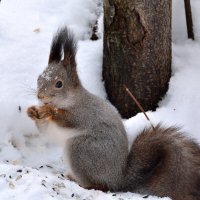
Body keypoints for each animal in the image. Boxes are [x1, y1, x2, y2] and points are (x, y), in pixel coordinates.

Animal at [27, 27, 200, 200]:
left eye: (59, 84)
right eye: (39, 79)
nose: (40, 96)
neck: (69, 100)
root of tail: (118, 178)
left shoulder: (84, 112)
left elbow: (68, 119)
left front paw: (50, 111)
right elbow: (44, 129)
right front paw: (32, 112)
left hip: (82, 150)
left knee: (102, 185)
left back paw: (80, 182)